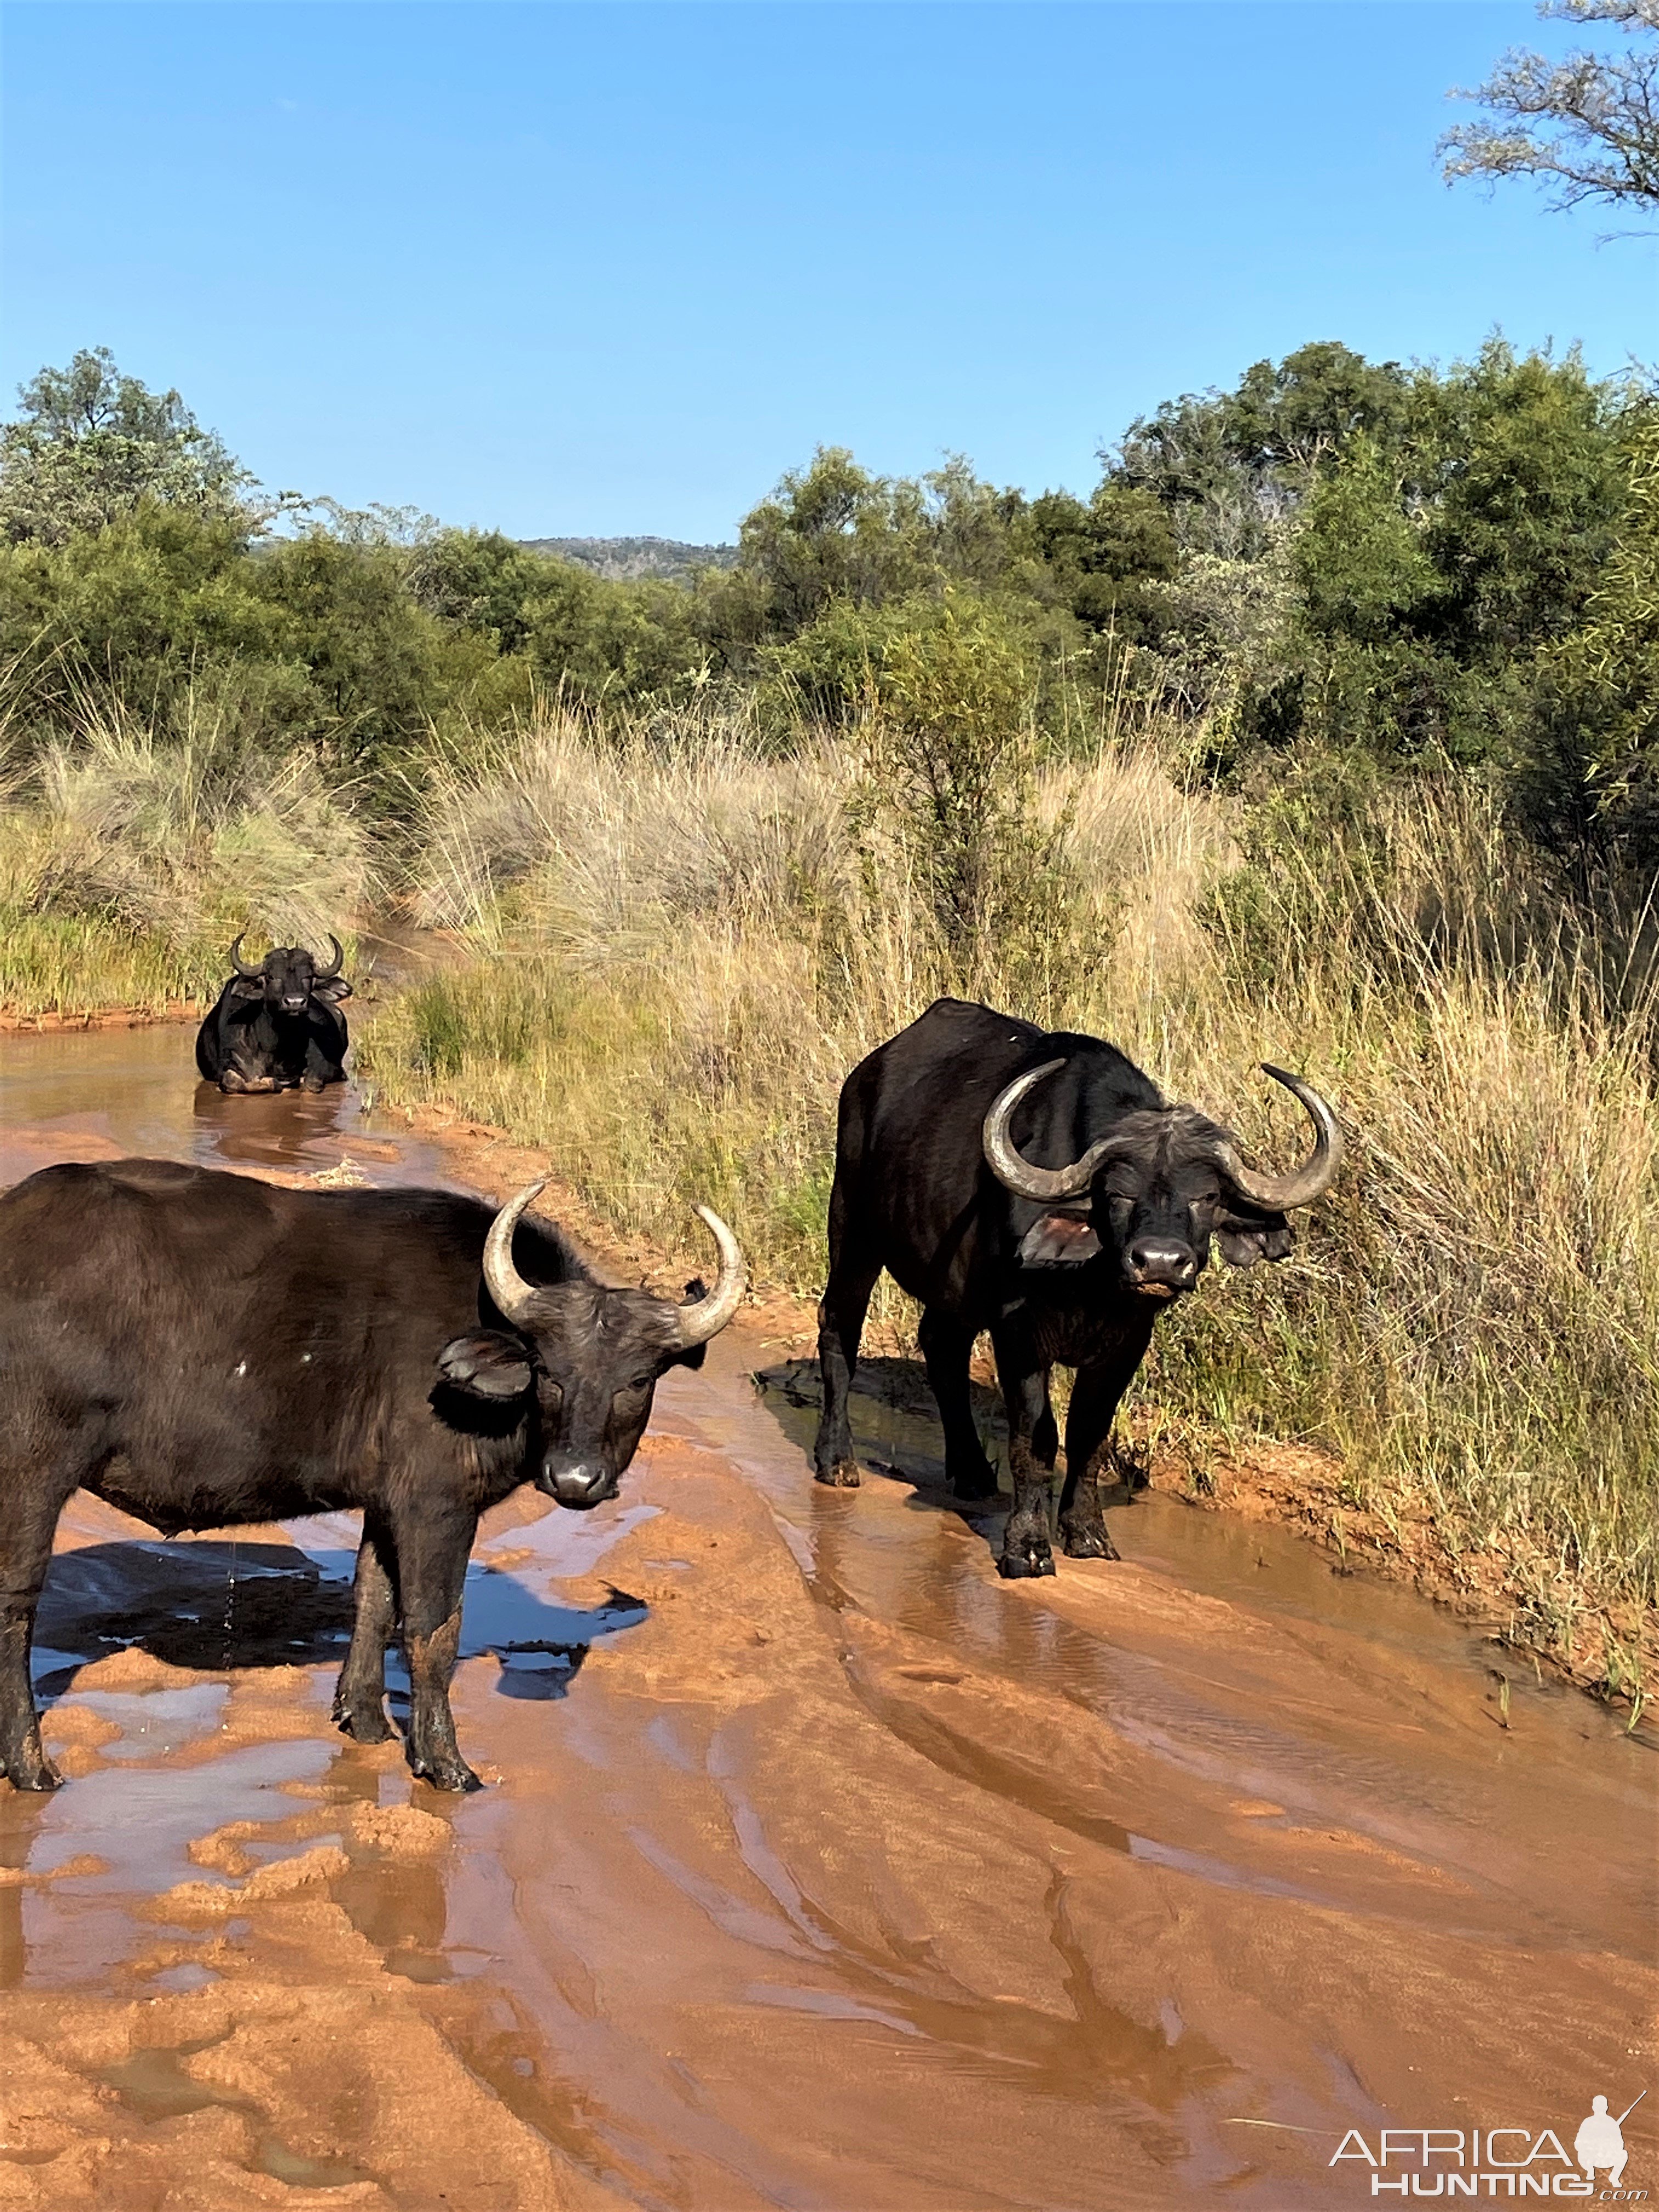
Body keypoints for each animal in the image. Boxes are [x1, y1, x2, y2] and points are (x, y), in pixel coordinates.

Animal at [0, 1159, 747, 1796]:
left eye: (639, 1379)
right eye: (547, 1370)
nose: (575, 1479)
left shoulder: (386, 1505)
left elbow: (373, 1600)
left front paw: (363, 1720)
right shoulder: (437, 1506)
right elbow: (434, 1628)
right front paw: (445, 1762)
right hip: (30, 1474)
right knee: (16, 1600)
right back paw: (31, 1765)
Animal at [193, 933, 352, 1097]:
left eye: (308, 977)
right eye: (271, 977)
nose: (295, 1002)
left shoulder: (325, 1062)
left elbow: (311, 1082)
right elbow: (234, 1081)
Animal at [814, 995, 1345, 1583]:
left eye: (1206, 1197)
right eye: (1117, 1193)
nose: (1160, 1263)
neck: (1092, 1287)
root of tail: (867, 1074)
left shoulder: (1127, 1345)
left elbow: (1090, 1433)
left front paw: (1087, 1532)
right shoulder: (1019, 1336)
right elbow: (1037, 1436)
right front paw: (1027, 1546)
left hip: (947, 1286)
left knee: (941, 1346)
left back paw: (972, 1472)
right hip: (853, 1228)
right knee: (839, 1325)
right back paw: (836, 1459)